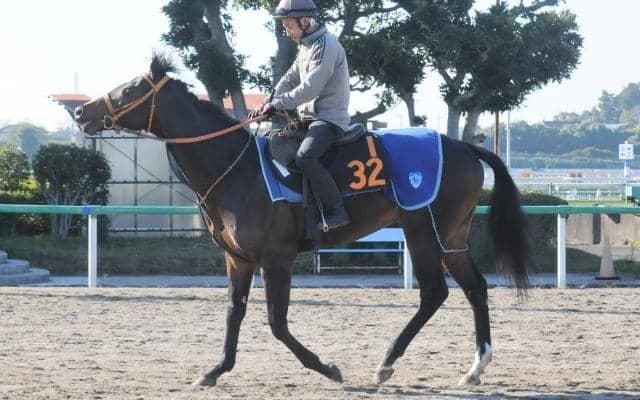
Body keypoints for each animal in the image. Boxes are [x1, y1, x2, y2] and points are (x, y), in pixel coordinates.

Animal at [74, 54, 531, 387]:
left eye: (129, 89)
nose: (81, 113)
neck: (238, 169)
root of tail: (464, 147)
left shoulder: (276, 258)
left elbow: (276, 323)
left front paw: (327, 368)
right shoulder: (238, 260)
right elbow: (233, 312)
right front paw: (215, 371)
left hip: (421, 230)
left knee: (435, 293)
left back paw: (386, 363)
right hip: (451, 237)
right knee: (475, 288)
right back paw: (475, 368)